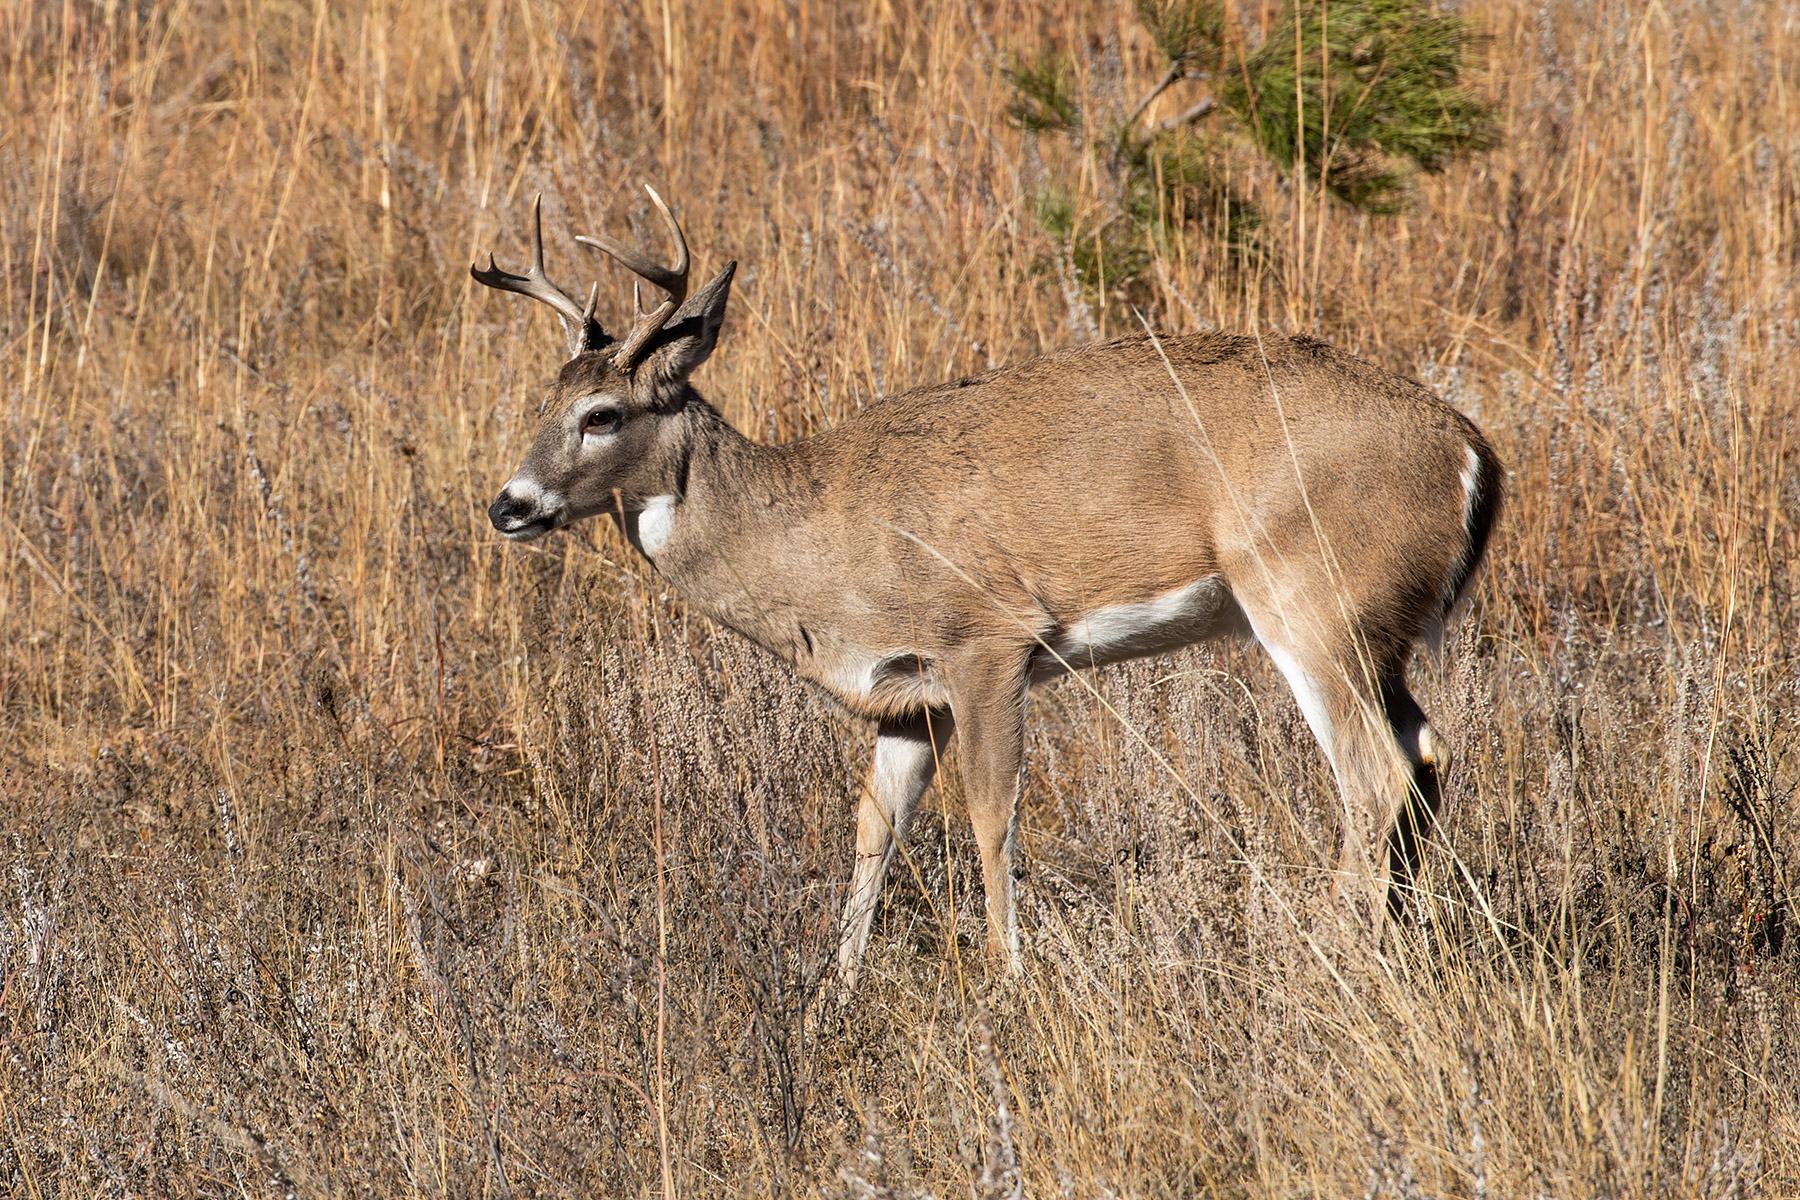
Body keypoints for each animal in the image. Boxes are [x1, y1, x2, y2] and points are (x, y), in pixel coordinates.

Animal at [472, 189, 1503, 995]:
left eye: (603, 414)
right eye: (541, 403)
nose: (508, 504)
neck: (822, 537)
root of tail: (1471, 454)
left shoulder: (987, 638)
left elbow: (991, 814)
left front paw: (1009, 979)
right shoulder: (905, 698)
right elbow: (873, 829)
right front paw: (833, 998)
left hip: (1310, 600)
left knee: (1374, 774)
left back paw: (1333, 957)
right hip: (1377, 630)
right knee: (1427, 754)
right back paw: (1399, 944)